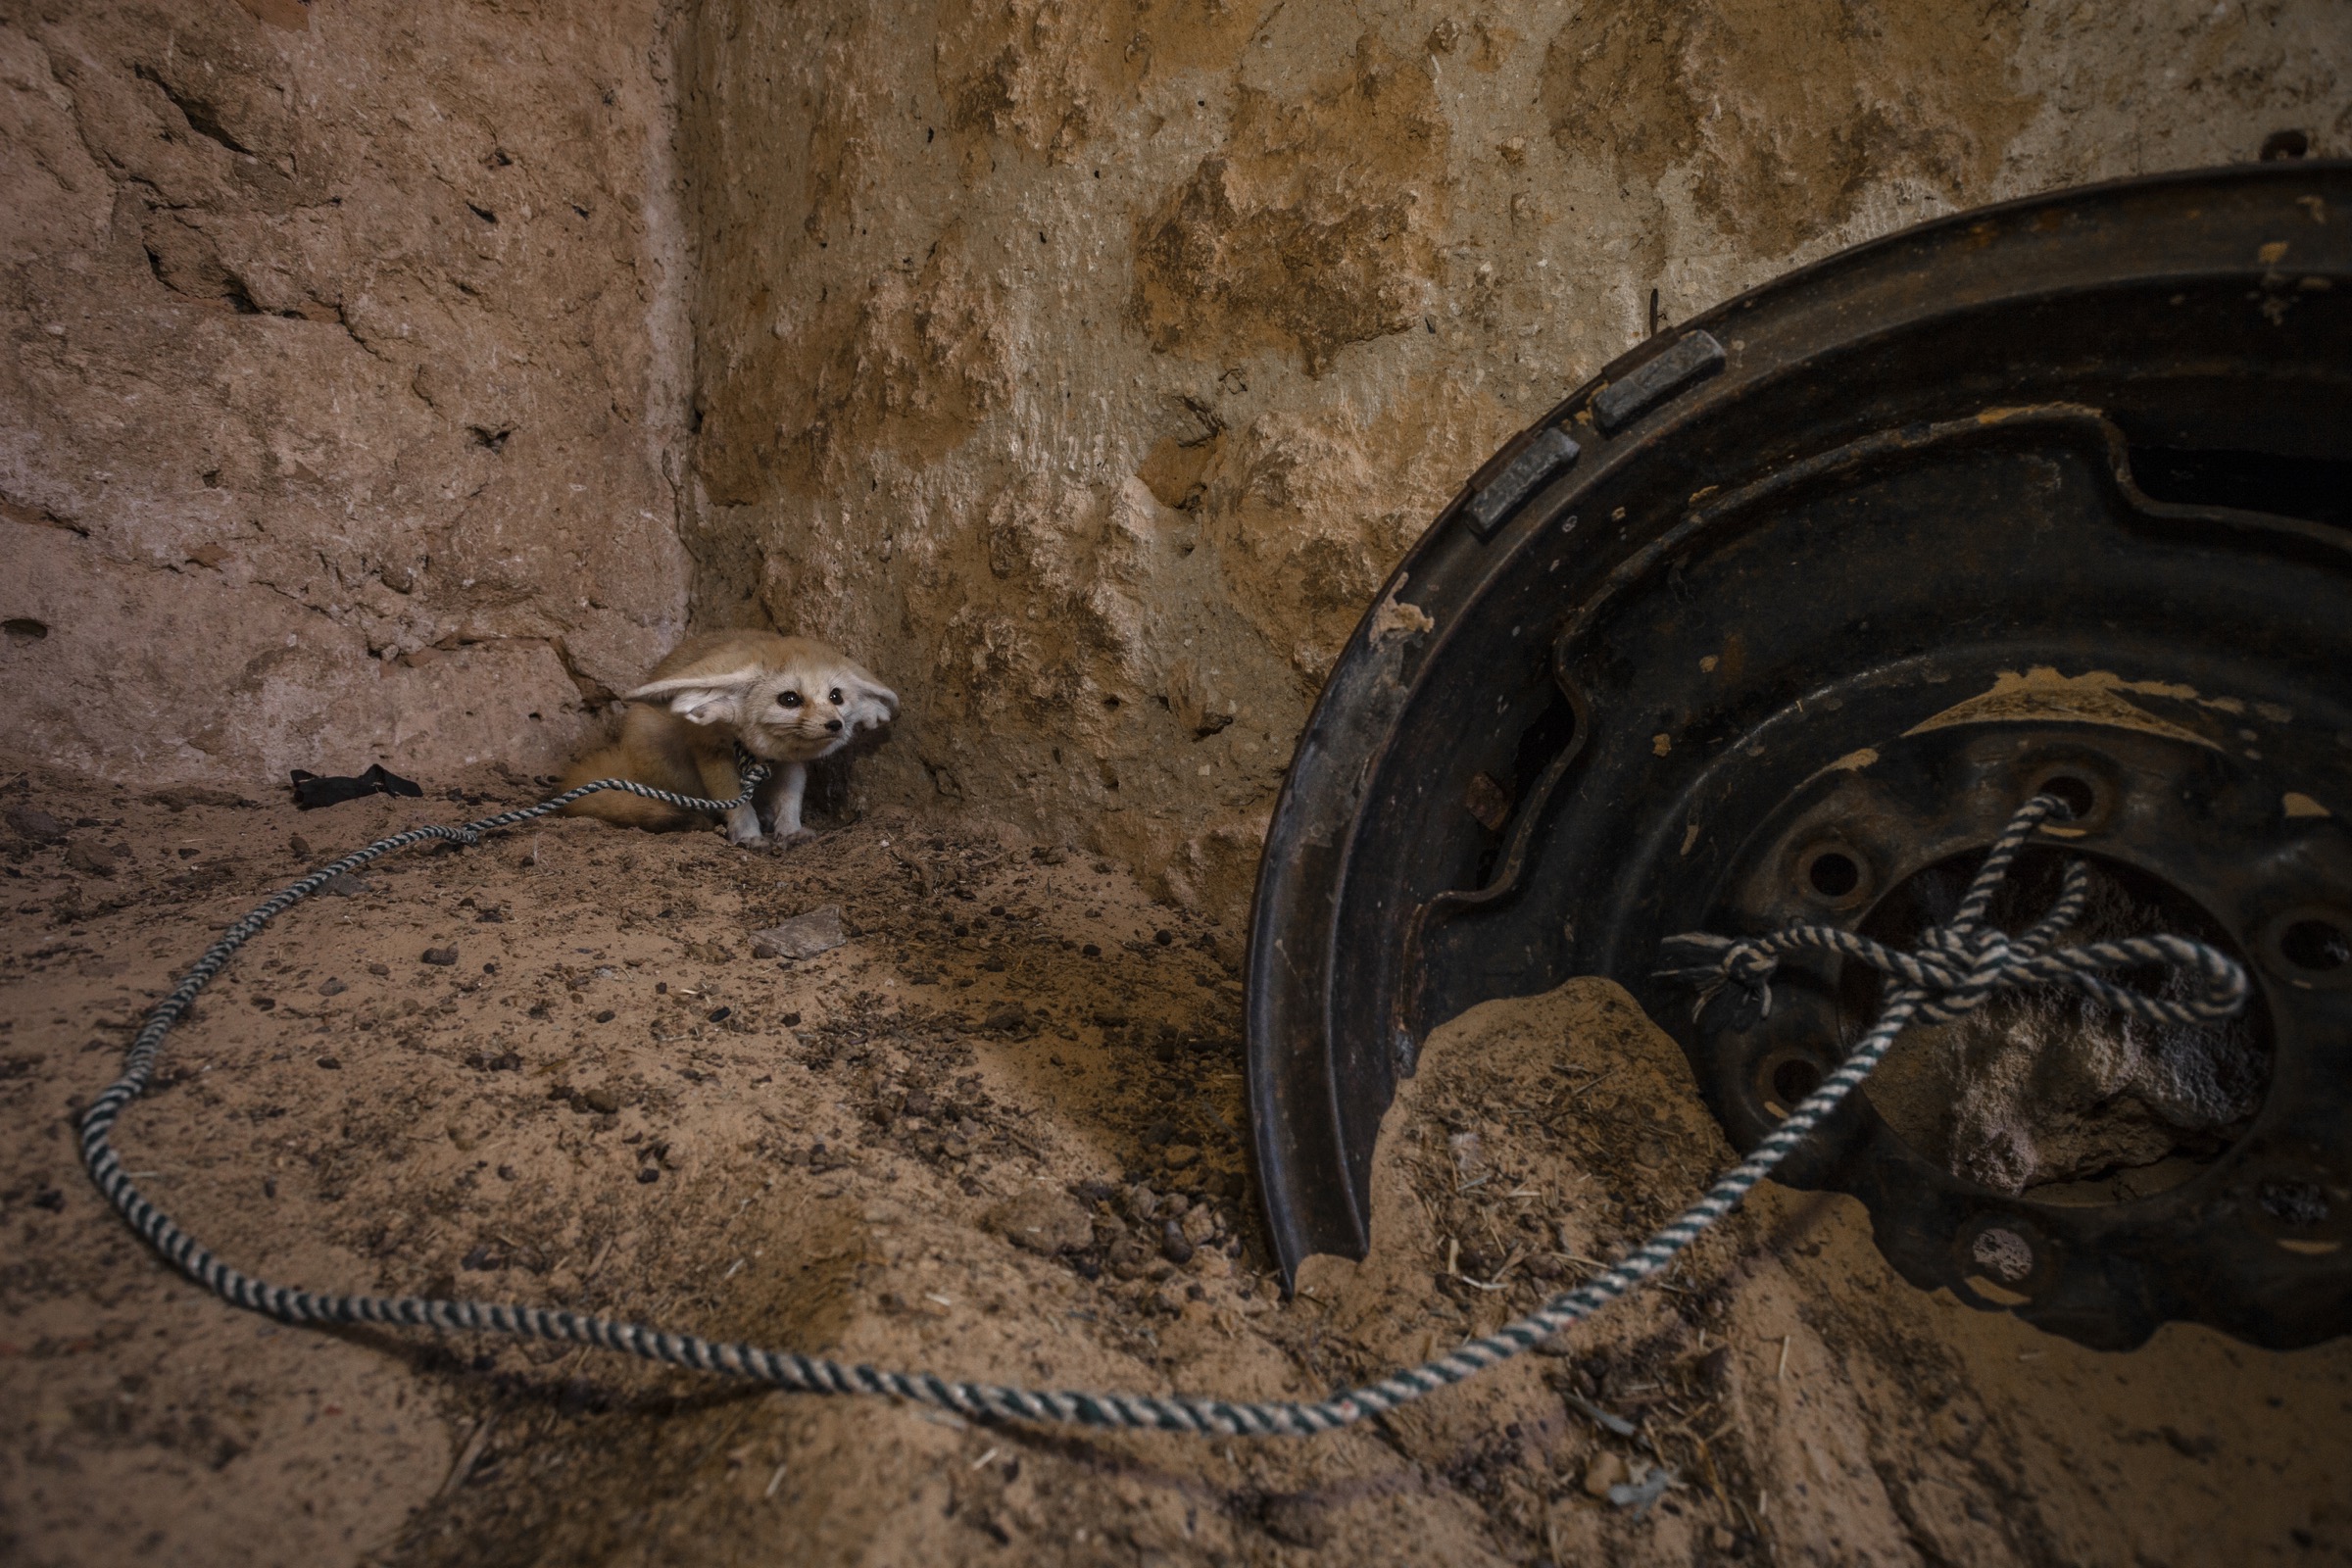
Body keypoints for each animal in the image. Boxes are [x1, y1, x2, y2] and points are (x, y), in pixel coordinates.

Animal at [558, 631, 896, 846]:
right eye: (789, 699)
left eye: (836, 696)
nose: (835, 724)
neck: (758, 752)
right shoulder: (710, 752)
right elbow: (734, 801)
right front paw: (748, 836)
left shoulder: (790, 761)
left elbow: (790, 798)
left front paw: (790, 830)